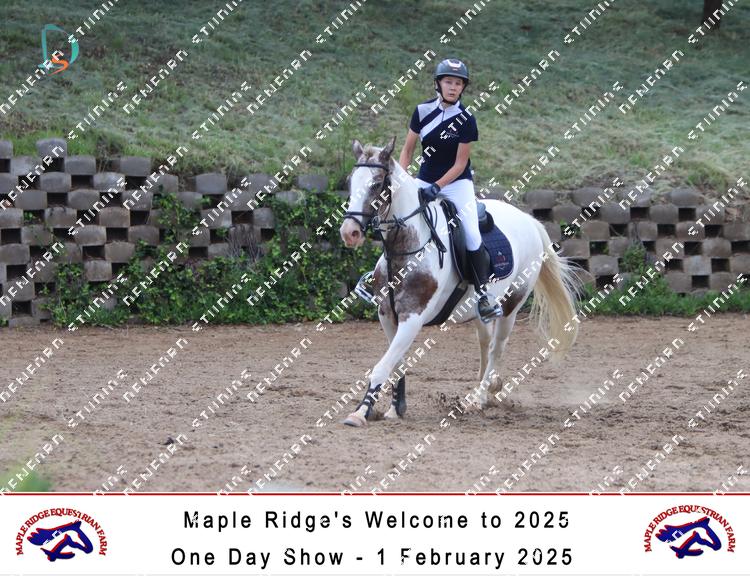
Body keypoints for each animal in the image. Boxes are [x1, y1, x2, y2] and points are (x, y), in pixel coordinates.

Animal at [339, 137, 580, 427]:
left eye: (376, 184)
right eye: (350, 181)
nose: (349, 232)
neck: (406, 247)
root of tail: (529, 220)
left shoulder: (413, 317)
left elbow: (382, 367)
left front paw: (360, 412)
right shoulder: (387, 315)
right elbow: (395, 363)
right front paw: (396, 408)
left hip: (511, 305)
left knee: (496, 348)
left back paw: (481, 397)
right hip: (480, 309)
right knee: (485, 342)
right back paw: (485, 389)